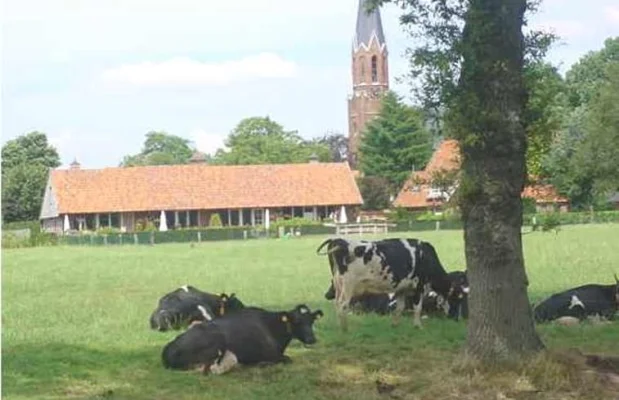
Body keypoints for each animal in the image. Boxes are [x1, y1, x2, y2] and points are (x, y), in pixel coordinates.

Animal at [160, 304, 324, 376]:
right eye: (296, 321)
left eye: (311, 320)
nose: (312, 339)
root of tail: (168, 349)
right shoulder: (270, 353)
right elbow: (288, 359)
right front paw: (263, 363)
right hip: (216, 342)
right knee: (210, 369)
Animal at [320, 238, 456, 332]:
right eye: (452, 297)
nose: (451, 315)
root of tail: (337, 240)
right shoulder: (419, 286)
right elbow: (418, 308)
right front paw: (418, 326)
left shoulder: (402, 288)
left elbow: (399, 308)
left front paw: (395, 325)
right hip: (349, 285)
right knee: (343, 305)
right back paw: (345, 329)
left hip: (338, 285)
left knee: (337, 304)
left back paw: (339, 326)